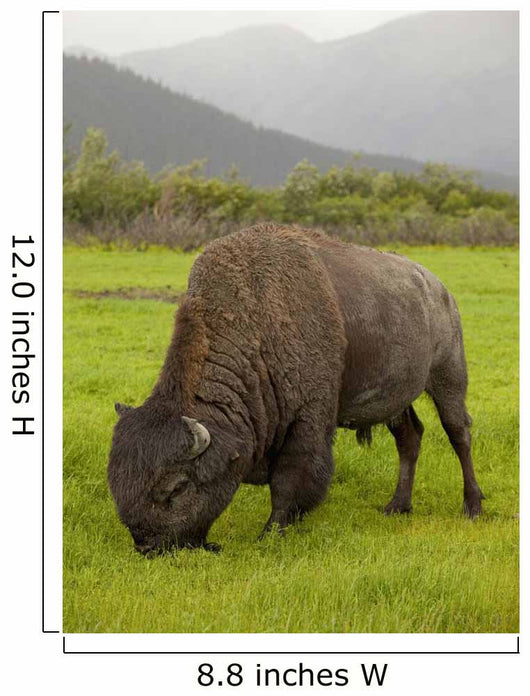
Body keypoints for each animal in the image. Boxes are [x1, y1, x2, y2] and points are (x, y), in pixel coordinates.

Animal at [108, 223, 484, 555]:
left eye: (177, 488)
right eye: (117, 485)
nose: (148, 546)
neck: (257, 321)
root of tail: (439, 290)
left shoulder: (308, 420)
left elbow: (290, 479)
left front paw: (271, 533)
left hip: (448, 376)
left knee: (458, 433)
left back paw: (473, 506)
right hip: (397, 400)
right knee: (409, 437)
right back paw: (397, 506)